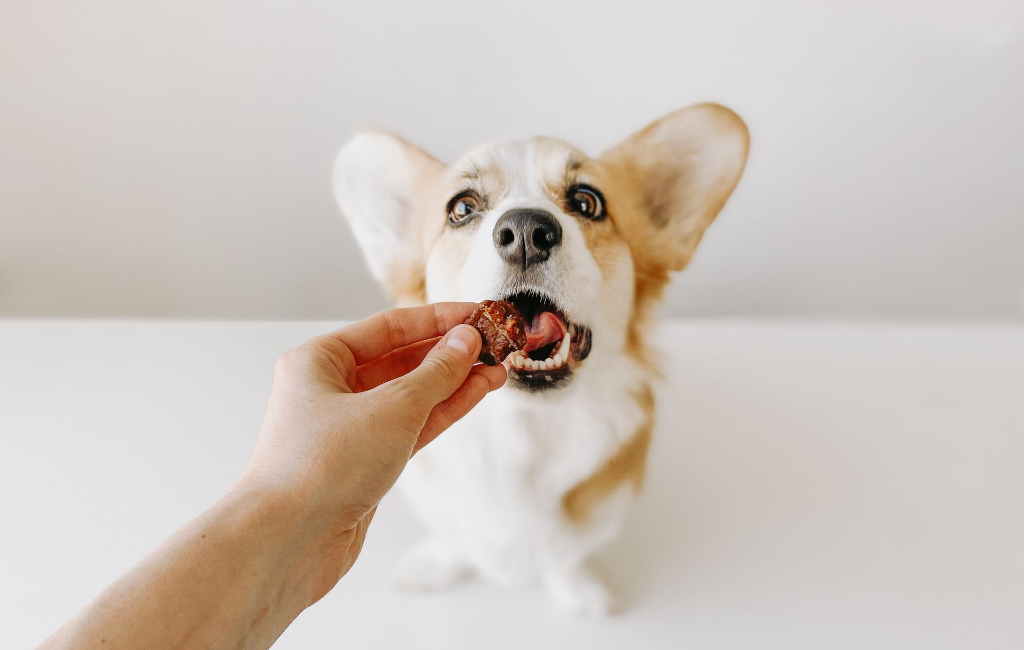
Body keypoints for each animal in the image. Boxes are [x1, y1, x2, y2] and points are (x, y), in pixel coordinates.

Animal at [331, 104, 749, 618]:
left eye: (588, 202)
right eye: (461, 208)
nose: (527, 232)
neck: (526, 433)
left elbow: (566, 557)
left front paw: (581, 589)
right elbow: (455, 537)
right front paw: (435, 565)